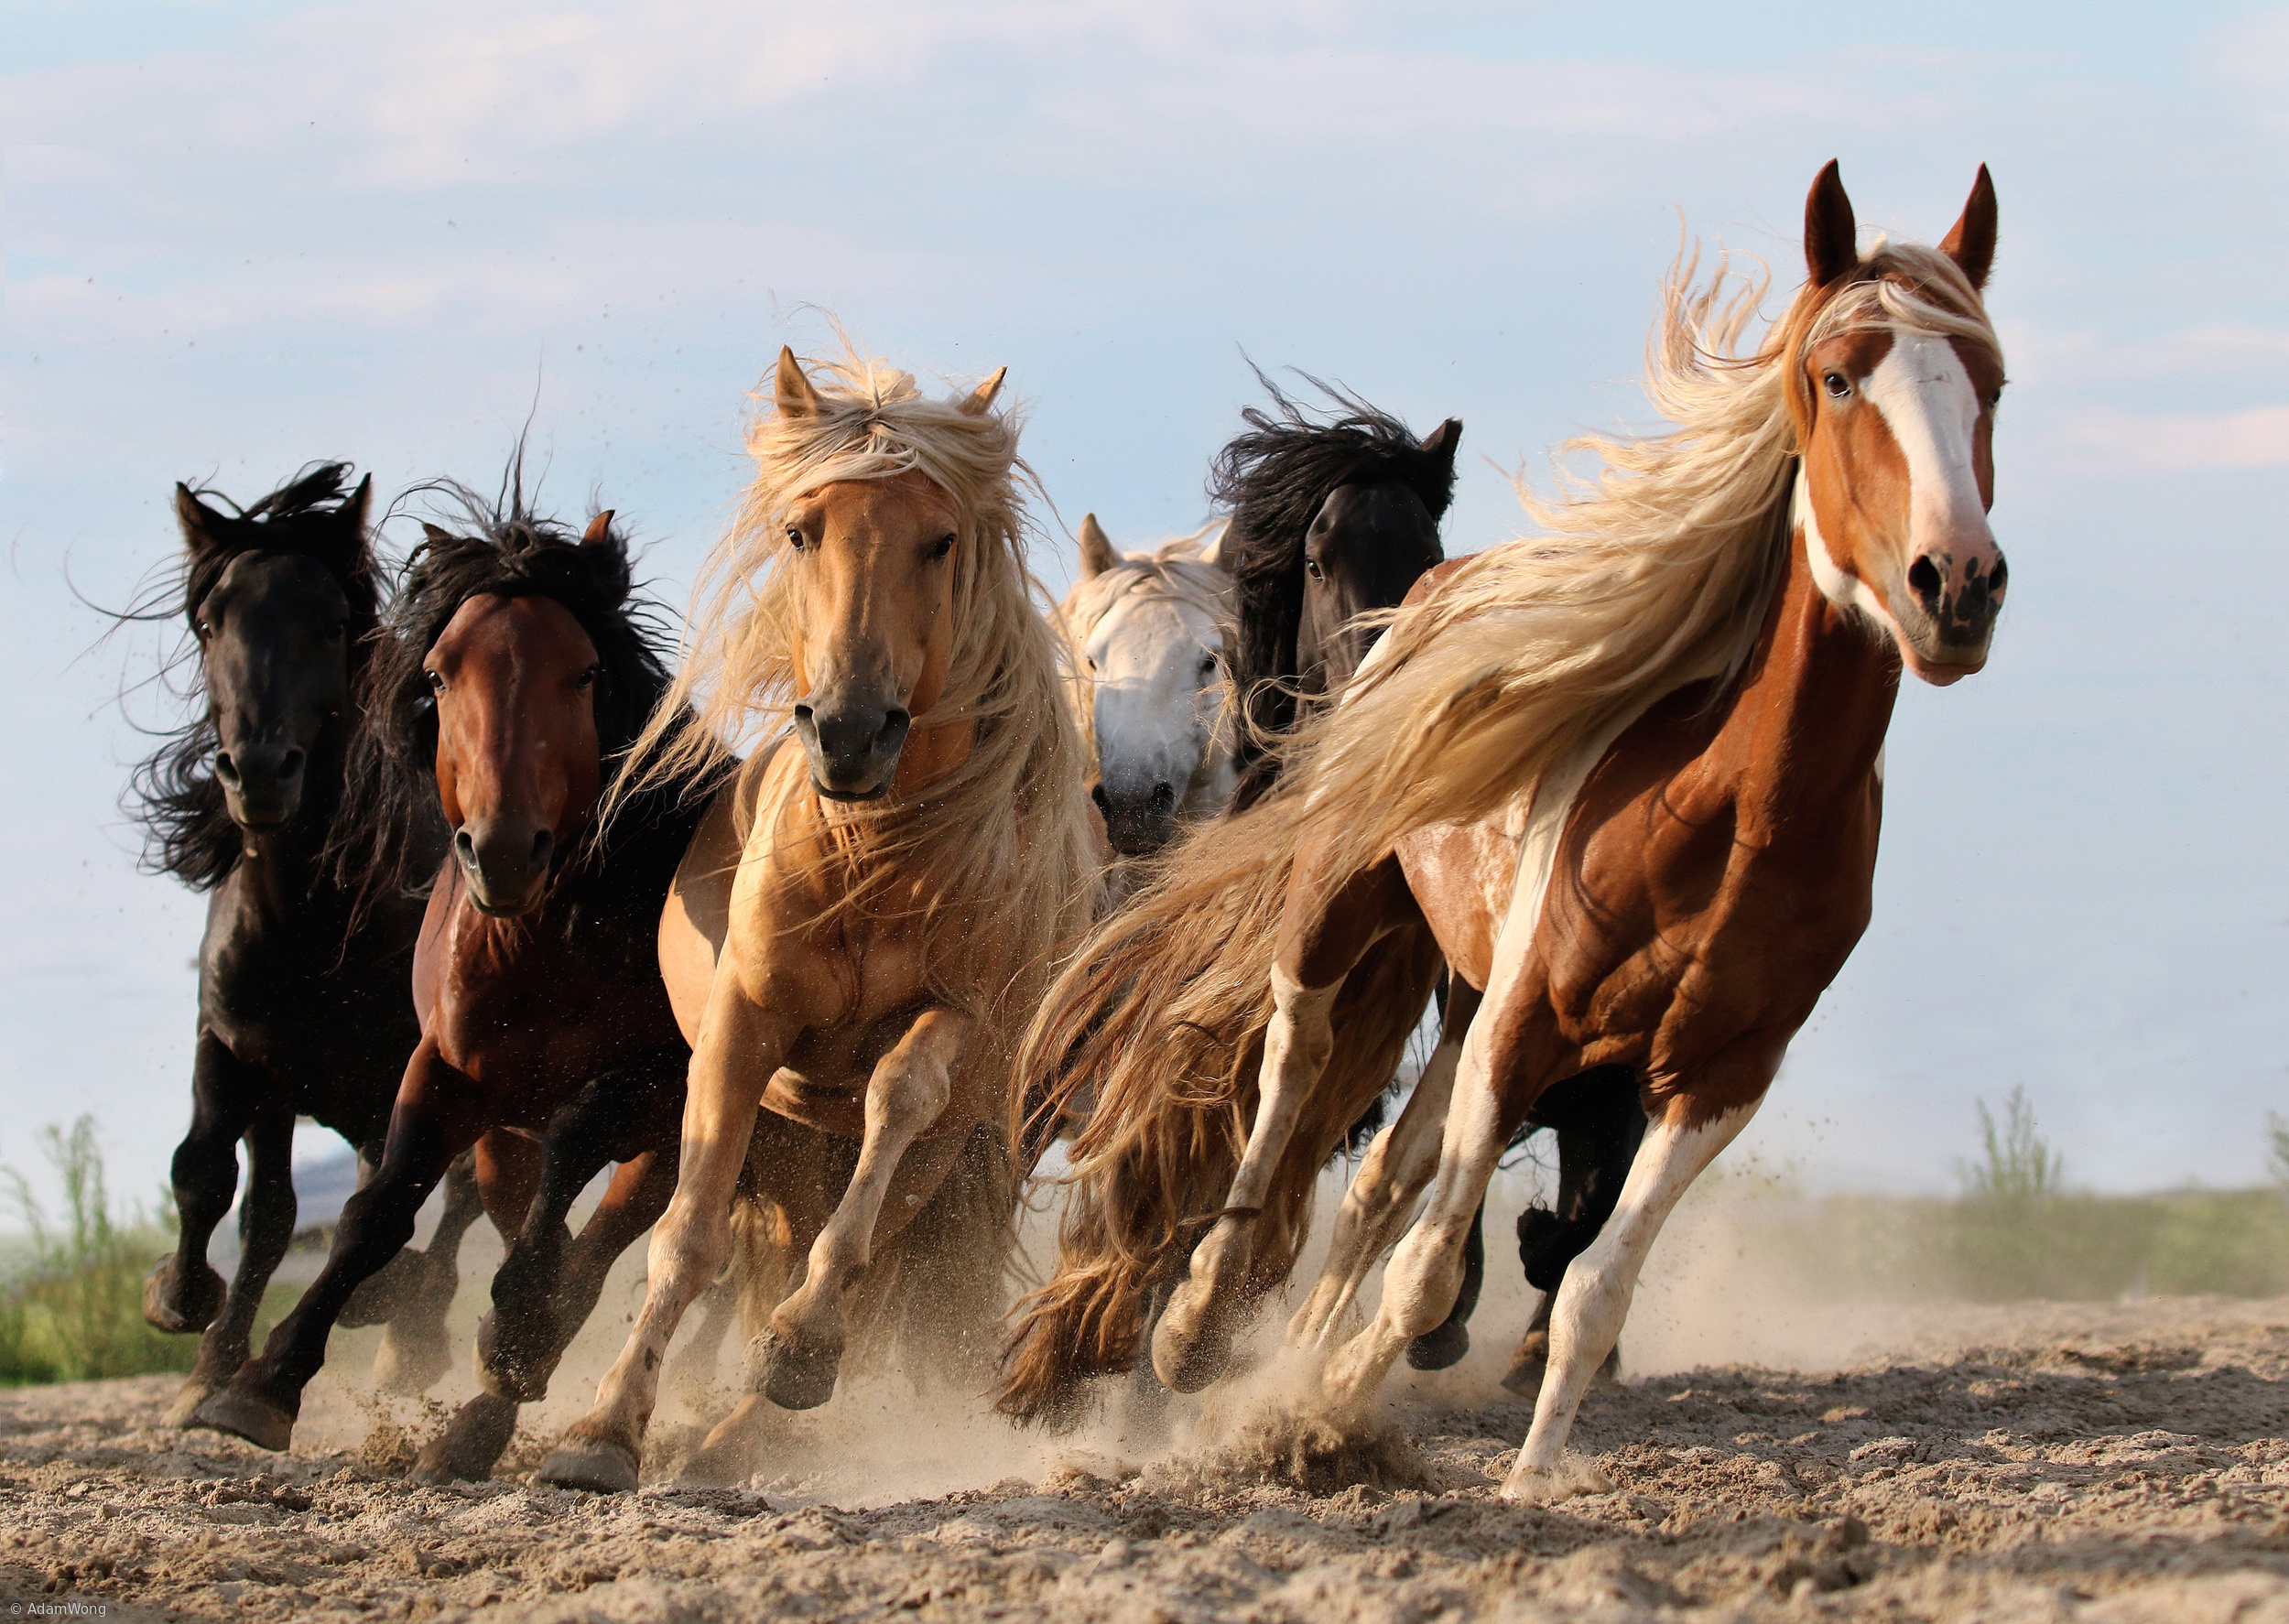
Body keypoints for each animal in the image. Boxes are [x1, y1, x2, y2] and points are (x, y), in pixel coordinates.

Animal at [128, 464, 478, 1427]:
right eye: (212, 623)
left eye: (331, 623)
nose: (259, 772)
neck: (310, 924)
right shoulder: (244, 1051)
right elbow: (223, 1184)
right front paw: (189, 1322)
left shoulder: (411, 1069)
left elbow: (397, 1199)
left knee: (456, 1201)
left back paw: (409, 1331)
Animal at [540, 350, 1103, 1491]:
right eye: (803, 531)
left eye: (940, 540)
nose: (848, 731)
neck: (870, 857)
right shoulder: (742, 1027)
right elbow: (688, 1236)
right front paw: (602, 1429)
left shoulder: (956, 1025)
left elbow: (892, 1110)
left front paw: (800, 1346)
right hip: (797, 1136)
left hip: (945, 1153)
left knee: (875, 1253)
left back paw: (748, 1423)